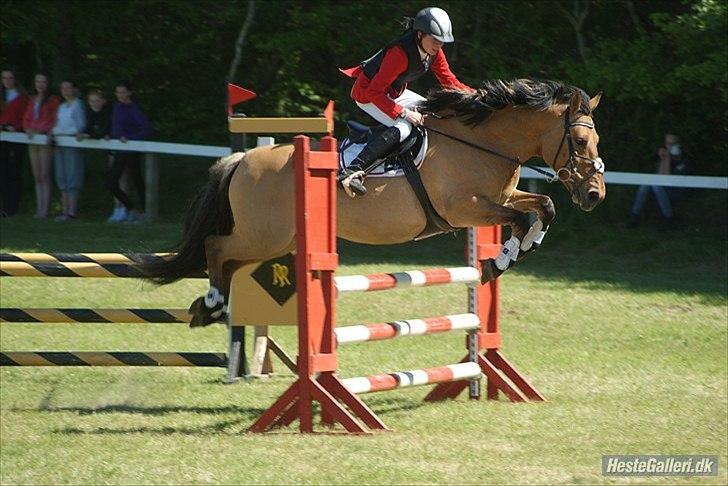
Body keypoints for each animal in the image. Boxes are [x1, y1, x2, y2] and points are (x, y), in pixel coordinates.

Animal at [139, 79, 604, 326]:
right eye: (581, 141)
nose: (595, 194)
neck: (481, 141)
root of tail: (241, 159)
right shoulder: (466, 208)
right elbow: (523, 218)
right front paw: (499, 261)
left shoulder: (501, 198)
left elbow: (542, 207)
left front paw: (513, 253)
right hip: (264, 236)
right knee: (216, 247)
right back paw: (211, 304)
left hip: (270, 241)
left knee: (228, 260)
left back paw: (212, 307)